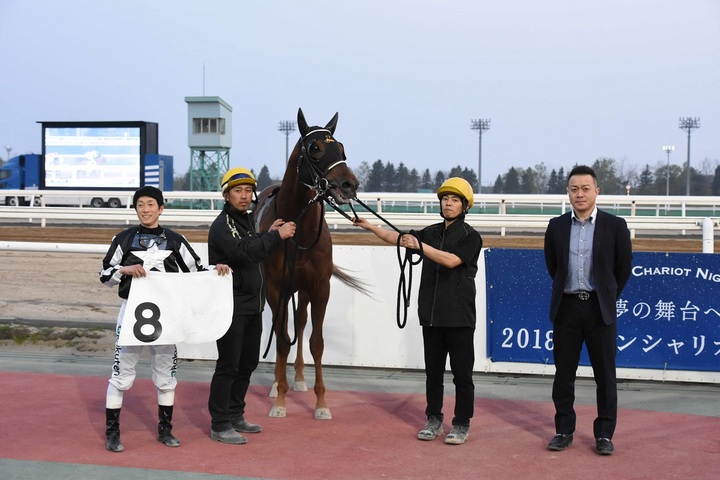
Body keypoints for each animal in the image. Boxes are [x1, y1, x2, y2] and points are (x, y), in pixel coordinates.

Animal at [255, 108, 360, 420]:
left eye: (341, 148)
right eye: (315, 148)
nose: (349, 184)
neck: (298, 229)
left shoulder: (320, 287)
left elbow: (316, 341)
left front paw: (321, 403)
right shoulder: (277, 287)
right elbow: (280, 337)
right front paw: (280, 399)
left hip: (302, 289)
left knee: (300, 323)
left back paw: (299, 379)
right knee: (282, 329)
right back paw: (277, 384)